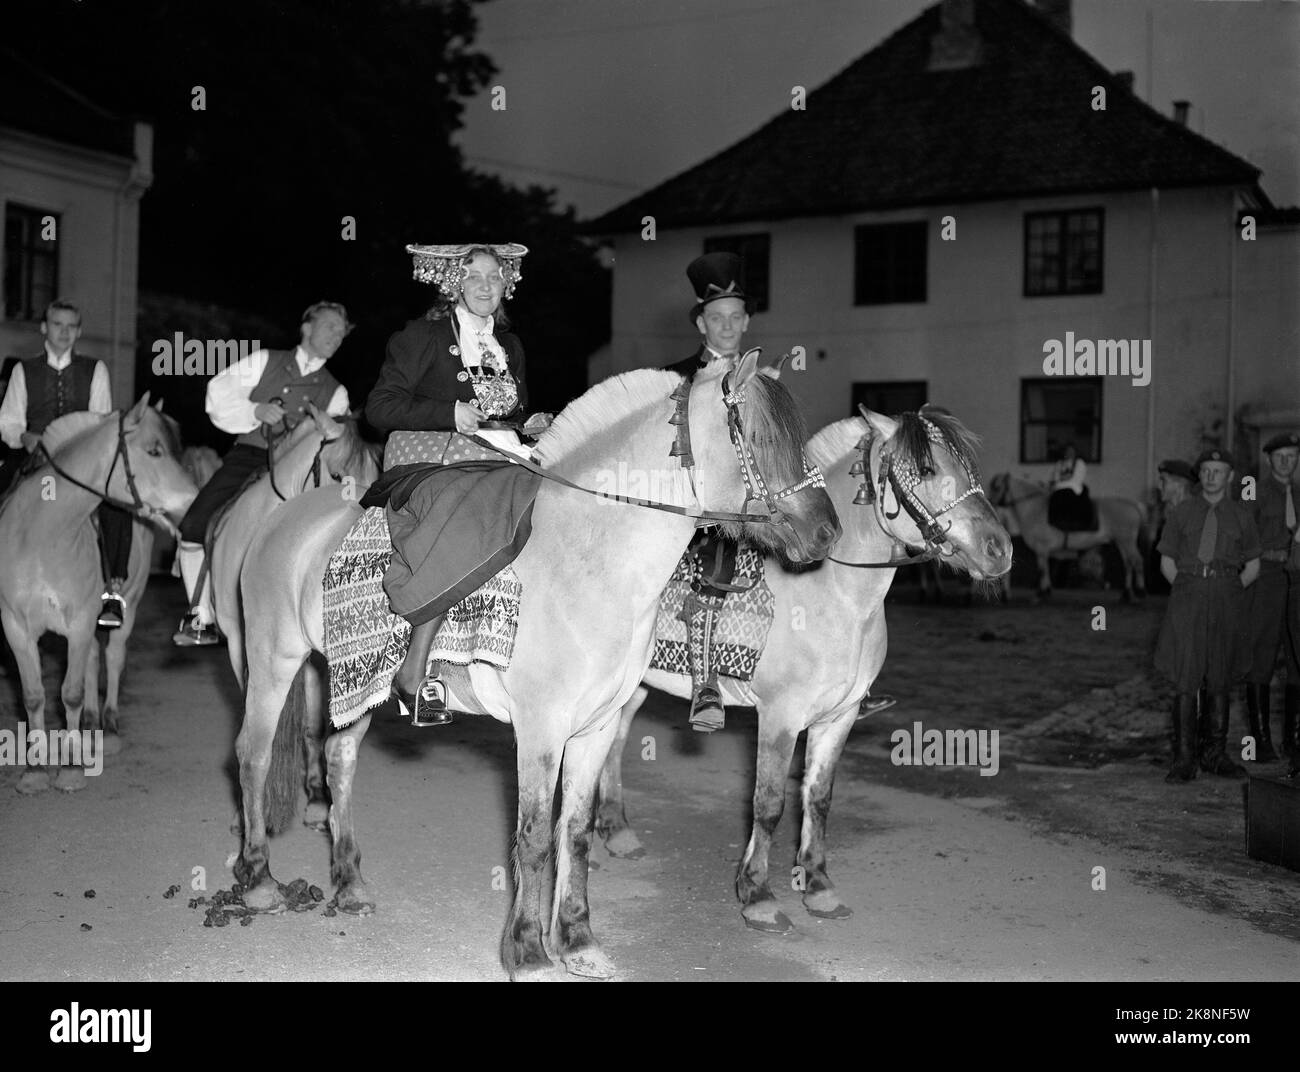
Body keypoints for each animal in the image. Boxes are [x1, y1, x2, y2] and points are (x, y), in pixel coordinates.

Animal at [0, 397, 197, 790]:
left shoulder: (78, 623)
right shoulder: (16, 628)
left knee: (112, 657)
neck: (42, 534)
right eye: (154, 451)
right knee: (92, 659)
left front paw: (72, 769)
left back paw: (107, 728)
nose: (194, 501)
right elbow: (34, 696)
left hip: (128, 606)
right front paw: (34, 770)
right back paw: (88, 728)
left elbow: (71, 693)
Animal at [595, 405, 1008, 930]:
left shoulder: (840, 717)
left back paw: (616, 831)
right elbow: (769, 802)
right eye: (928, 469)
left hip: (632, 688)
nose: (1000, 550)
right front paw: (758, 895)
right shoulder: (780, 717)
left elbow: (818, 797)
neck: (833, 594)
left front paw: (818, 886)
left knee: (614, 741)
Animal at [982, 472, 1149, 597]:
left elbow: (1042, 569)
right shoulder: (1043, 550)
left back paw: (1140, 591)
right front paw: (1046, 590)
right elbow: (1045, 568)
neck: (1034, 508)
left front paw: (1042, 593)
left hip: (1127, 541)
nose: (989, 503)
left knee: (1137, 561)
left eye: (997, 487)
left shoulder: (1042, 548)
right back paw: (1126, 593)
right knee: (1128, 563)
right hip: (1122, 542)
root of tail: (1134, 505)